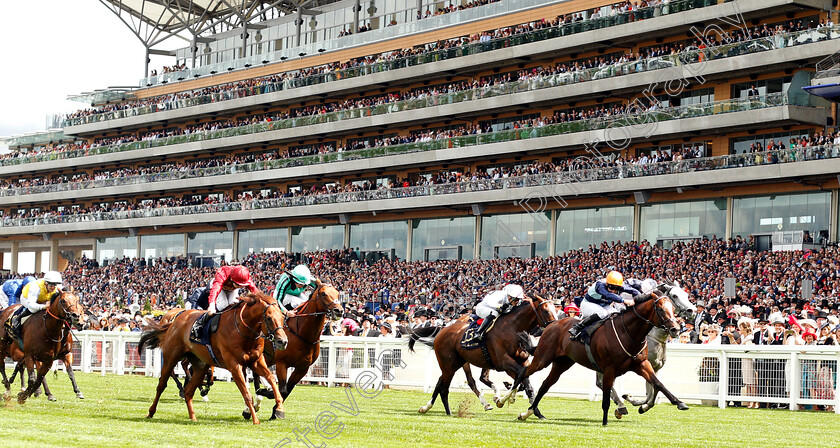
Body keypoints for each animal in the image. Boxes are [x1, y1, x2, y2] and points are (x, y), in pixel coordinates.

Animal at [140, 290, 288, 424]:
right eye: (269, 318)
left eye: (282, 318)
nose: (283, 341)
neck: (243, 331)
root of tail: (173, 321)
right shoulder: (235, 366)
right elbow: (246, 393)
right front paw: (255, 419)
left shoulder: (256, 361)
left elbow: (271, 378)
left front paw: (279, 408)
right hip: (171, 357)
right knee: (162, 385)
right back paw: (151, 412)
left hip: (200, 365)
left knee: (189, 391)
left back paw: (193, 416)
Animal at [243, 280, 344, 420]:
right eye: (323, 293)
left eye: (338, 293)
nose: (338, 310)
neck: (302, 334)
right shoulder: (282, 364)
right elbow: (283, 389)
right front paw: (269, 395)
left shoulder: (302, 368)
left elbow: (288, 389)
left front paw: (275, 411)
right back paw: (252, 404)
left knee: (256, 375)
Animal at [408, 298, 556, 416]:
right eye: (546, 311)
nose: (554, 327)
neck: (512, 329)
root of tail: (442, 329)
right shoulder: (505, 362)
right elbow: (522, 380)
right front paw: (503, 400)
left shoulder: (522, 362)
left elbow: (524, 382)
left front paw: (534, 411)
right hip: (452, 364)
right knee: (461, 383)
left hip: (453, 364)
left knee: (441, 382)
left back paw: (426, 407)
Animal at [502, 292, 684, 426]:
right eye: (660, 309)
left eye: (672, 308)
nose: (675, 328)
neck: (628, 332)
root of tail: (551, 325)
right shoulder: (609, 369)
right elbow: (606, 397)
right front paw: (605, 422)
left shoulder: (642, 364)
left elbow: (658, 384)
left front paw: (679, 403)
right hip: (542, 359)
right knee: (523, 373)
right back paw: (504, 399)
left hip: (562, 363)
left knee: (545, 386)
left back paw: (526, 413)